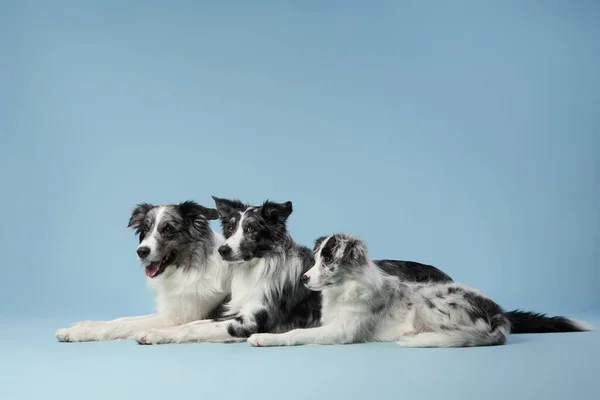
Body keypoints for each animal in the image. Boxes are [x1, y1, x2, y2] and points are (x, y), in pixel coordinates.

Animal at [54, 202, 233, 342]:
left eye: (168, 229)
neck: (188, 265)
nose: (141, 251)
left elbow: (125, 324)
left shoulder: (178, 318)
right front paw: (80, 326)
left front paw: (77, 332)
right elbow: (122, 319)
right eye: (146, 229)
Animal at [246, 233, 592, 348]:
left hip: (431, 299)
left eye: (328, 260)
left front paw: (263, 338)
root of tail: (500, 317)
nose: (304, 279)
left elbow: (295, 334)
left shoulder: (342, 331)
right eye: (316, 257)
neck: (346, 289)